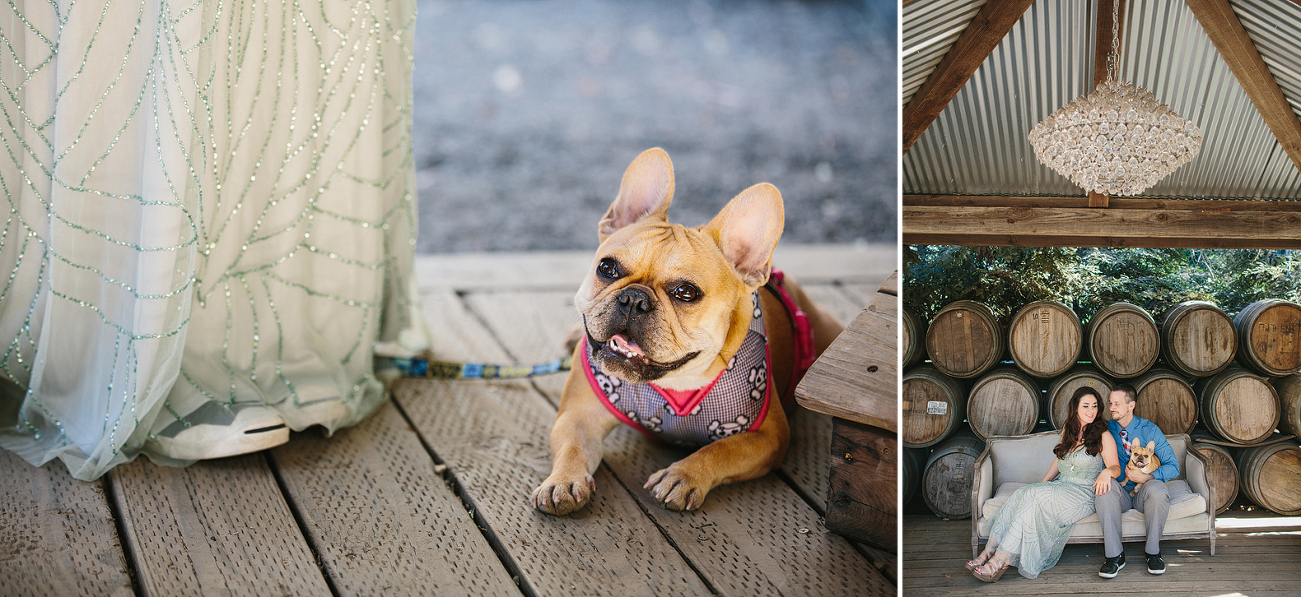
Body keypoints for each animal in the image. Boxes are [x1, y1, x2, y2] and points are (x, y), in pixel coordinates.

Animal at [528, 148, 843, 515]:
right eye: (607, 268)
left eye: (686, 293)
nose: (633, 299)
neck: (673, 383)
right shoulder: (578, 416)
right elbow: (572, 447)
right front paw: (563, 481)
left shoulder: (768, 438)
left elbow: (721, 450)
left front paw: (682, 476)